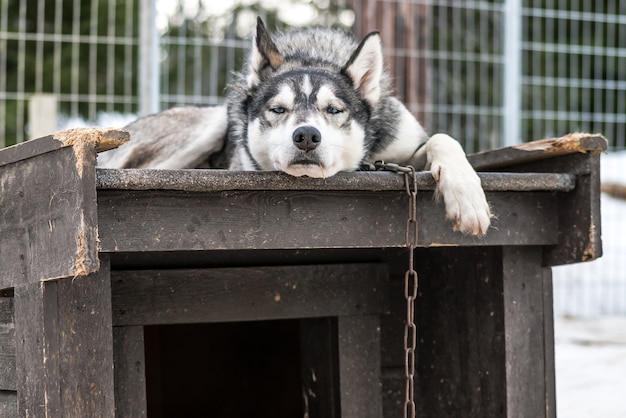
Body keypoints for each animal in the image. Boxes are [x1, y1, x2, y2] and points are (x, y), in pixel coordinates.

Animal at [97, 17, 490, 235]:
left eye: (334, 110)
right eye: (277, 109)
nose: (306, 136)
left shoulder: (403, 145)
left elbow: (443, 139)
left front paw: (467, 197)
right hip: (209, 124)